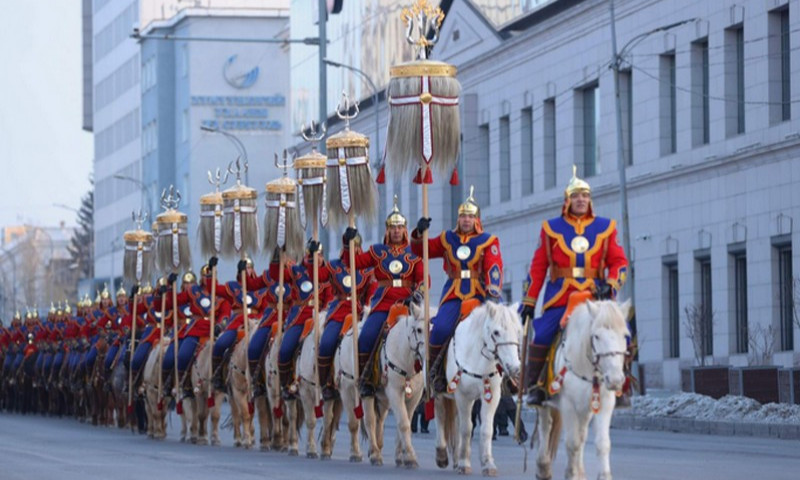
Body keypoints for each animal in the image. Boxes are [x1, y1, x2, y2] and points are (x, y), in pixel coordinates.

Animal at [360, 304, 424, 468]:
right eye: (419, 329)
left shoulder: (414, 396)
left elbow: (405, 421)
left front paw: (402, 456)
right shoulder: (395, 391)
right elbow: (404, 423)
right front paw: (410, 457)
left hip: (382, 398)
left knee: (379, 420)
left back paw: (378, 447)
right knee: (369, 420)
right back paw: (373, 453)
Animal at [434, 302, 520, 478]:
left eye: (517, 331)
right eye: (496, 332)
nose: (515, 368)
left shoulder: (491, 395)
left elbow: (486, 429)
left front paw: (488, 464)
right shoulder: (462, 395)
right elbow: (466, 429)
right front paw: (464, 463)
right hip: (441, 394)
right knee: (440, 415)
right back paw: (442, 455)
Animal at [532, 300, 632, 480]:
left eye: (624, 335)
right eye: (597, 336)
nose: (615, 380)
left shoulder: (603, 404)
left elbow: (602, 443)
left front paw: (603, 475)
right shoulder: (568, 405)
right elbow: (573, 443)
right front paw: (571, 474)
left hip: (585, 409)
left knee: (582, 434)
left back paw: (580, 471)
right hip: (546, 404)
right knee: (546, 427)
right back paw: (543, 467)